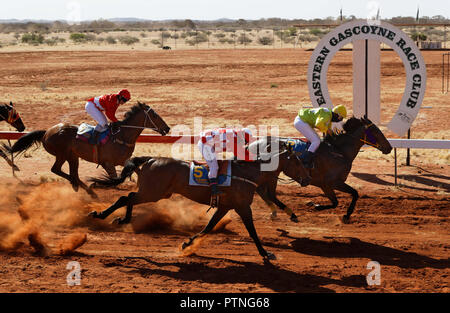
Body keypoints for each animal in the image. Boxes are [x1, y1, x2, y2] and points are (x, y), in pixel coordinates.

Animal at [4, 101, 171, 196]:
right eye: (154, 115)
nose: (167, 128)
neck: (122, 136)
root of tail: (46, 132)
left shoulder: (125, 160)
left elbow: (136, 172)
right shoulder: (108, 163)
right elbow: (114, 179)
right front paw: (97, 183)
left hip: (73, 156)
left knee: (73, 174)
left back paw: (83, 188)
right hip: (62, 154)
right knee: (56, 170)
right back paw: (80, 186)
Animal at [89, 144, 312, 260]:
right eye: (297, 161)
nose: (308, 179)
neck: (246, 173)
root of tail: (150, 159)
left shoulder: (225, 206)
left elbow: (209, 227)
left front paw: (187, 244)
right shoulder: (242, 207)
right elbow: (253, 232)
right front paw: (266, 253)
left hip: (156, 192)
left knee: (127, 198)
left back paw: (111, 217)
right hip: (153, 192)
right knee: (126, 198)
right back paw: (111, 217)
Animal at [250, 116, 394, 222]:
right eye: (376, 131)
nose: (389, 147)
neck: (339, 152)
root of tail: (253, 143)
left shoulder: (332, 183)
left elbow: (353, 194)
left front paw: (346, 215)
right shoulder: (329, 183)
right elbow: (340, 200)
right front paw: (317, 206)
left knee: (264, 192)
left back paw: (277, 213)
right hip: (271, 174)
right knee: (267, 193)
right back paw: (288, 214)